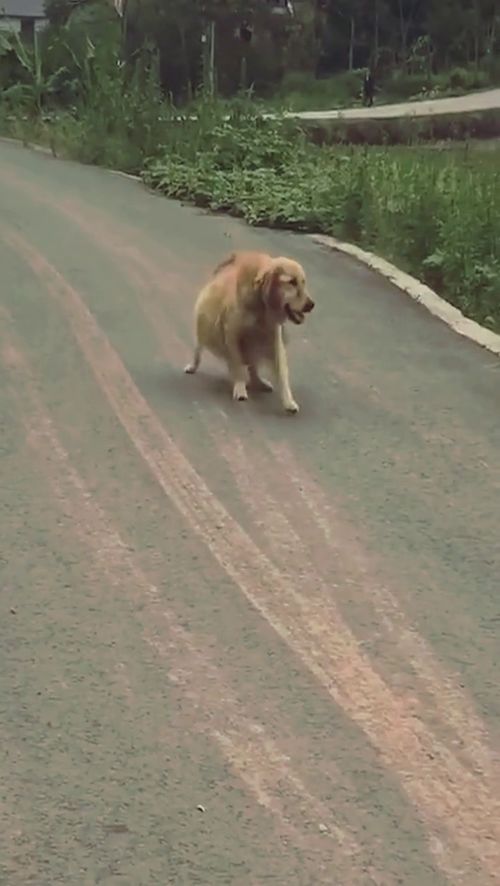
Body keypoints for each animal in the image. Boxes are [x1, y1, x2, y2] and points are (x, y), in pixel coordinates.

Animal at [186, 251, 314, 414]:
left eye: (303, 282)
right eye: (291, 282)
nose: (311, 305)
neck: (261, 304)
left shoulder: (273, 337)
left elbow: (281, 372)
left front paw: (288, 401)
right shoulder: (232, 335)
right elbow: (238, 364)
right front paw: (240, 388)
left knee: (254, 365)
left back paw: (258, 382)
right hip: (205, 325)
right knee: (200, 348)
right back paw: (193, 365)